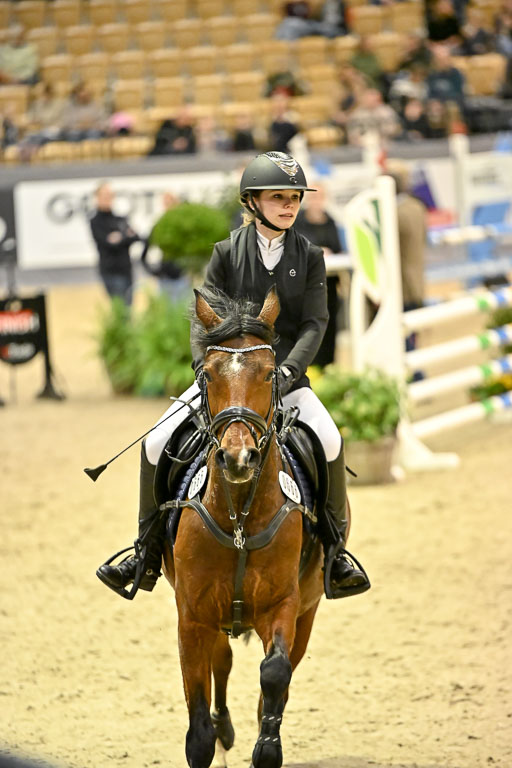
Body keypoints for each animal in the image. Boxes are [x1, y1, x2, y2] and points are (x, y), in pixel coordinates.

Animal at [160, 286, 348, 768]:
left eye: (268, 374)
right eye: (207, 375)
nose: (238, 458)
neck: (239, 516)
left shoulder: (284, 604)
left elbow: (275, 672)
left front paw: (267, 747)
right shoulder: (191, 615)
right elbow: (198, 730)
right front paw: (215, 735)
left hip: (307, 610)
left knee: (279, 673)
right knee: (222, 660)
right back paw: (226, 729)